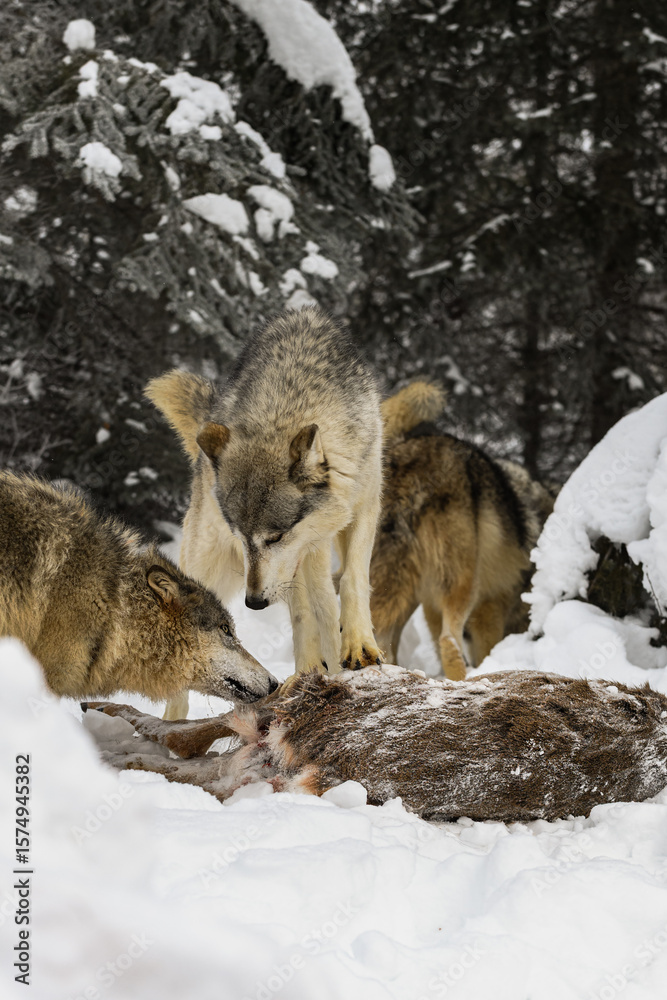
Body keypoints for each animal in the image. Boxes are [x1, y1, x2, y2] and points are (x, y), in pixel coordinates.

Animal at [146, 307, 384, 718]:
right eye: (241, 536)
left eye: (274, 537)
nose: (253, 603)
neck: (289, 405)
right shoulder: (308, 549)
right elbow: (316, 608)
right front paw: (327, 668)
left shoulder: (363, 502)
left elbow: (353, 580)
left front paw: (358, 648)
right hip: (209, 573)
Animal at [371, 384, 555, 679]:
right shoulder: (490, 606)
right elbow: (484, 647)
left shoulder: (432, 604)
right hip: (462, 582)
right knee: (448, 640)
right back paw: (462, 675)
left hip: (400, 585)